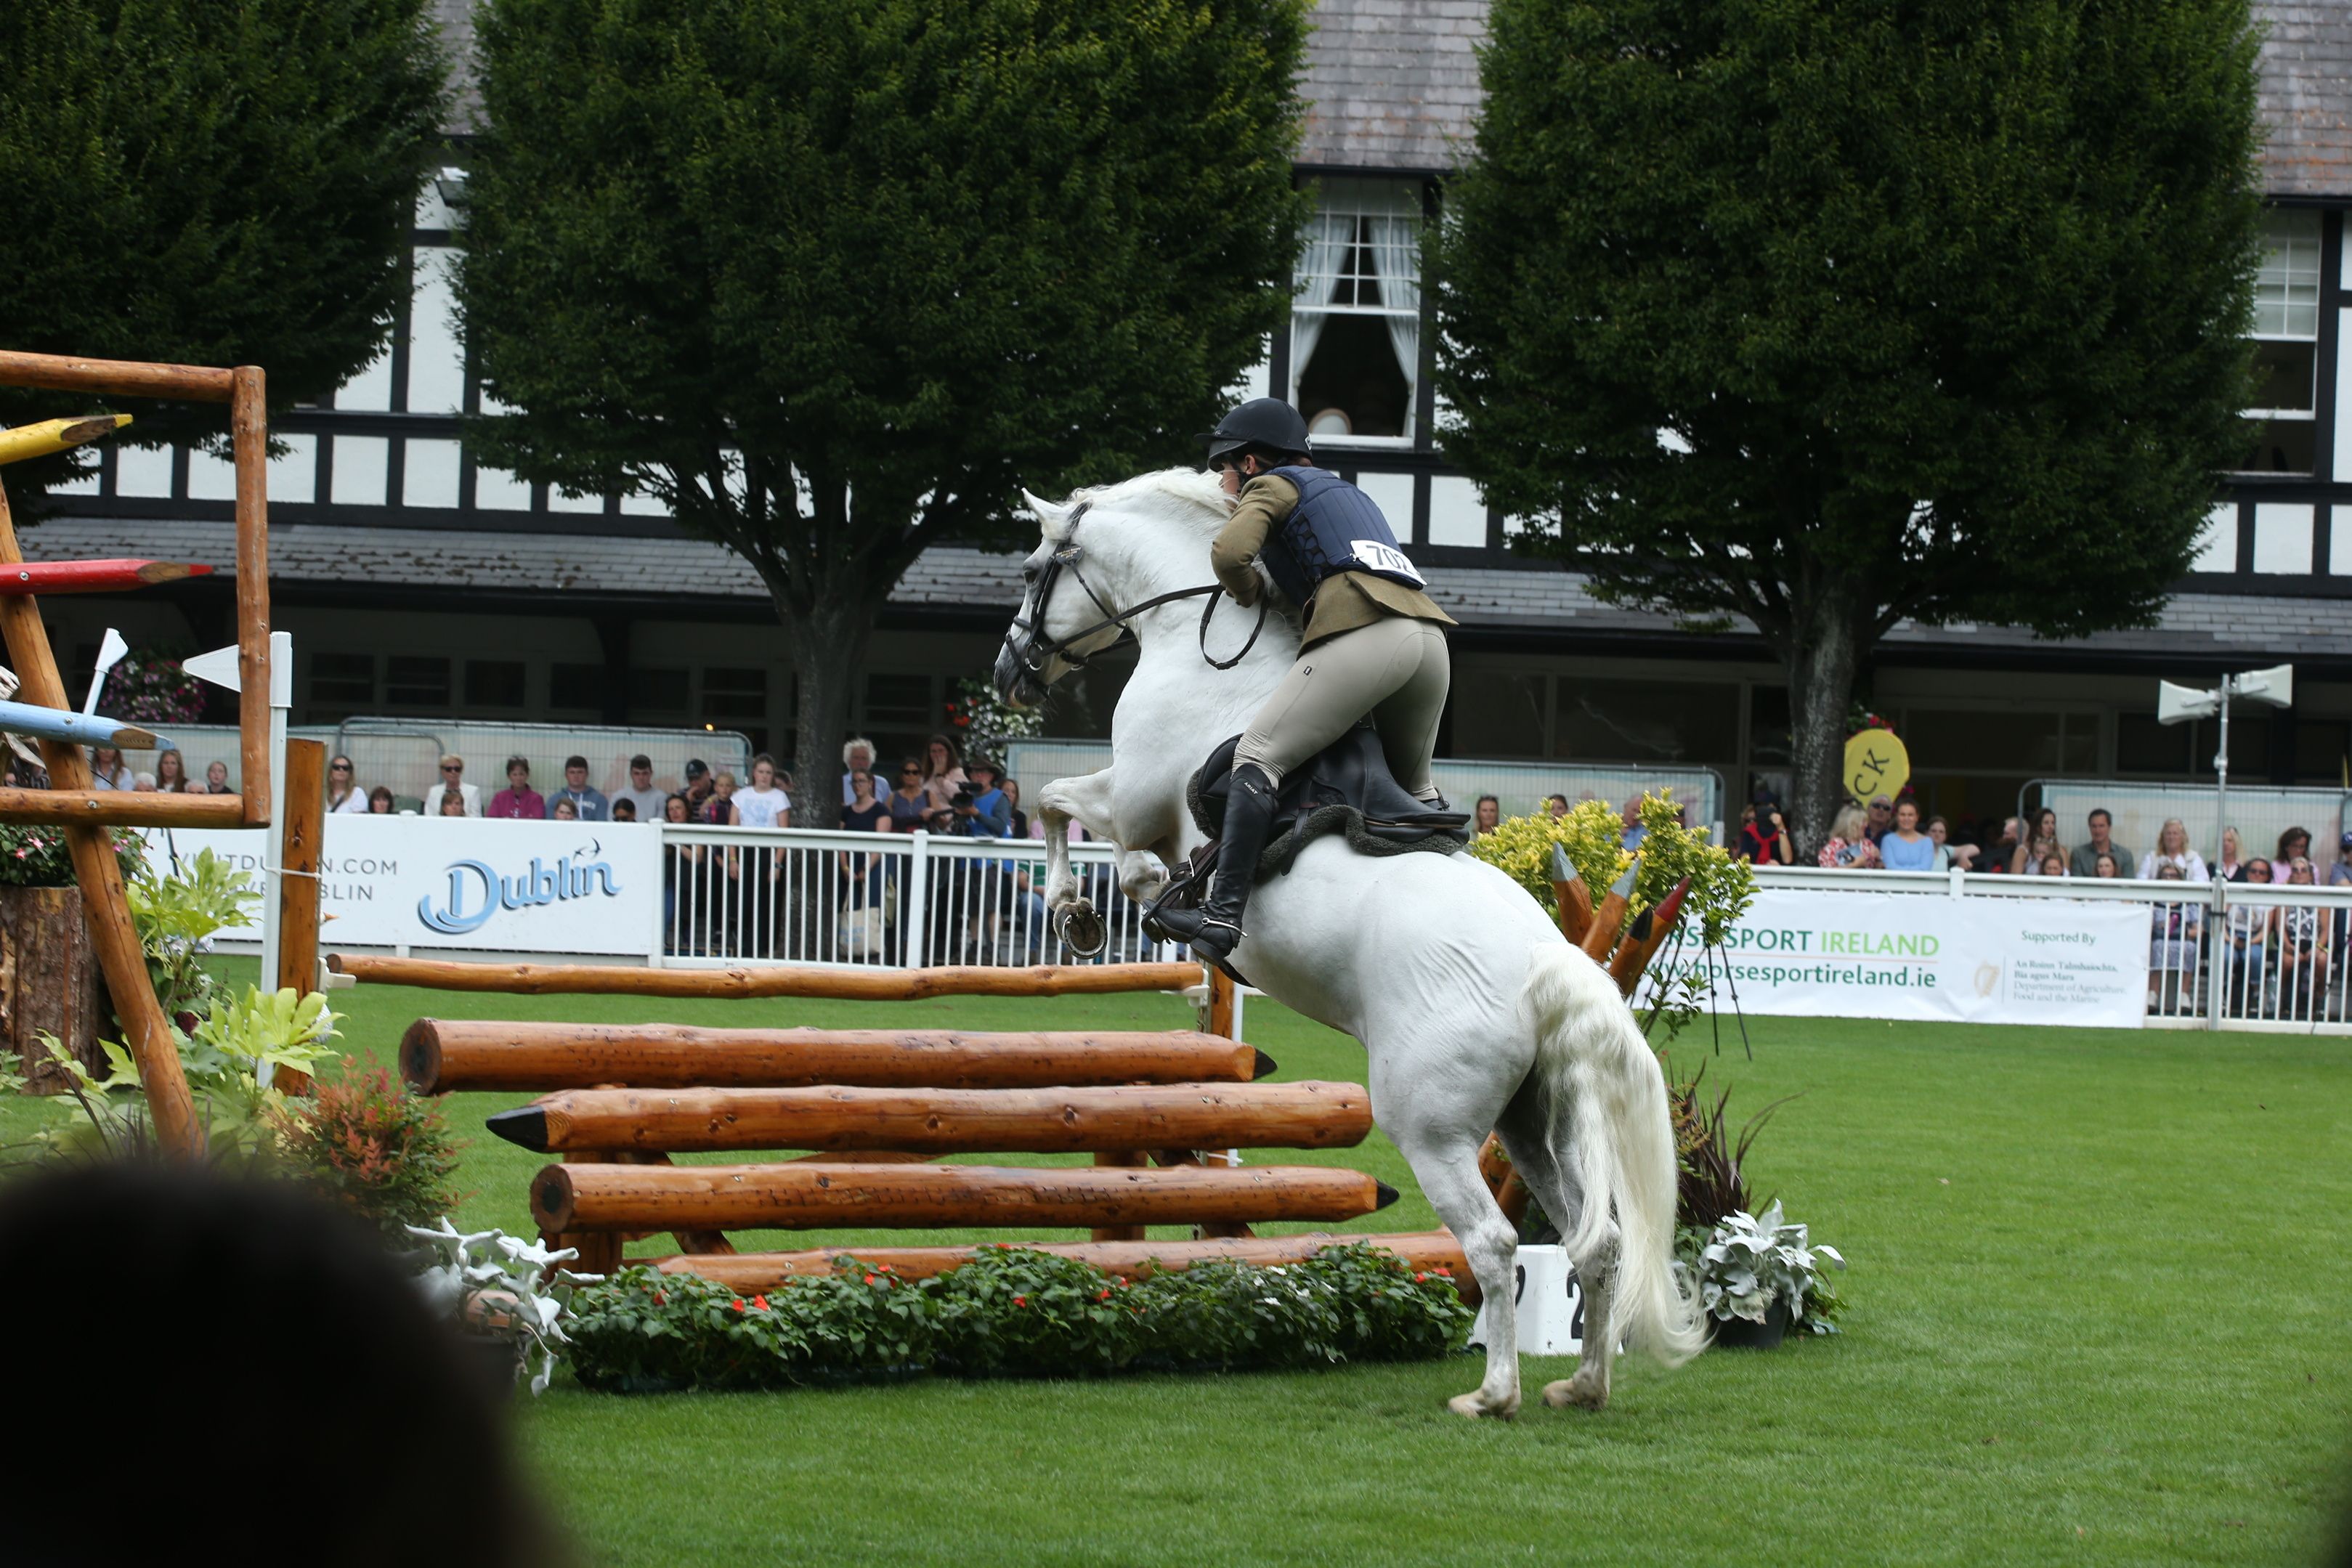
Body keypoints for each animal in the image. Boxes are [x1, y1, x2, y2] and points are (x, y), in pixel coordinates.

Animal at [997, 470, 1712, 1420]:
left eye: (1032, 567)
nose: (1009, 671)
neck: (1205, 646)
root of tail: (1545, 961)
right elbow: (1092, 832)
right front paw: (1132, 897)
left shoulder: (1131, 795)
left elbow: (1056, 805)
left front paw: (1083, 911)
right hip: (1536, 1119)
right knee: (1591, 1242)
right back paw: (1583, 1384)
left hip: (1432, 1121)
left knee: (1494, 1241)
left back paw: (1493, 1394)